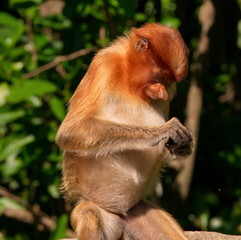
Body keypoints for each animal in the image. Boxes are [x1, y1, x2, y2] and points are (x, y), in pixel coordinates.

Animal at [56, 23, 194, 240]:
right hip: (96, 209)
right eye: (161, 77)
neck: (129, 79)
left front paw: (183, 146)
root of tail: (120, 213)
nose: (163, 93)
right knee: (89, 214)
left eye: (169, 82)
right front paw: (162, 132)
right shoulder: (103, 65)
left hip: (138, 212)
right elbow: (71, 130)